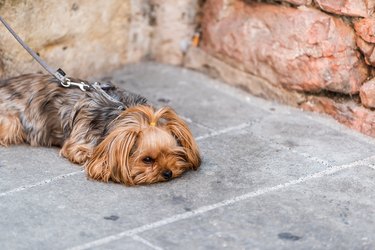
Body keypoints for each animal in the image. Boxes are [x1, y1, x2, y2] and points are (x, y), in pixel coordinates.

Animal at [0, 73, 203, 185]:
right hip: (11, 122)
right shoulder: (80, 145)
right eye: (147, 160)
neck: (124, 113)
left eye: (175, 153)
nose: (168, 173)